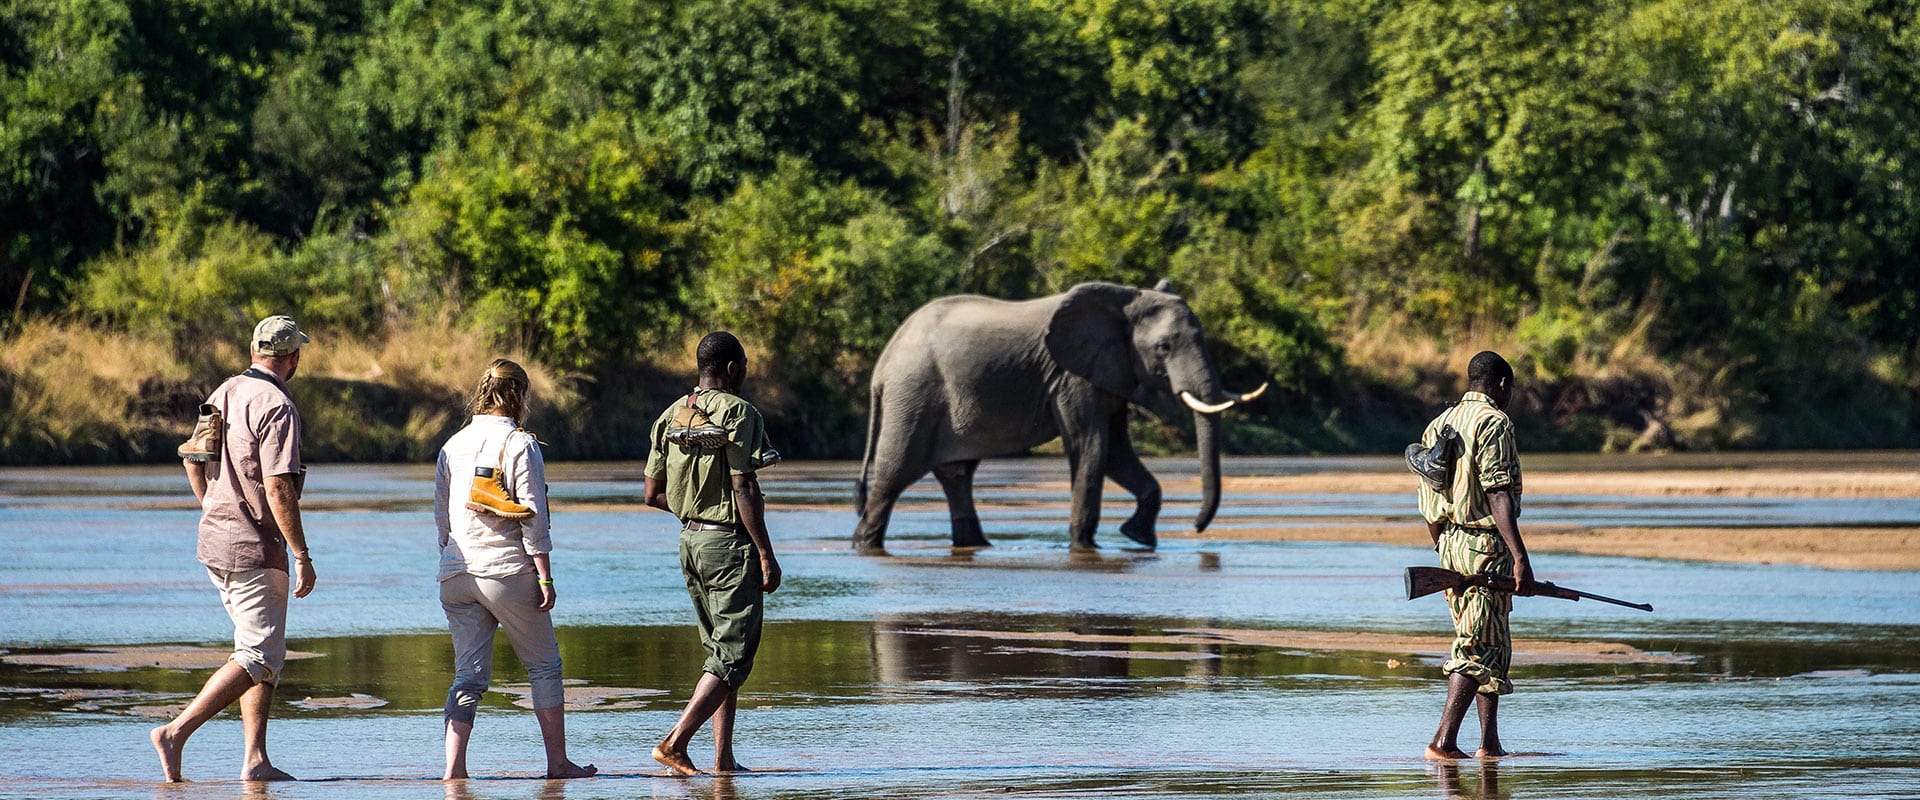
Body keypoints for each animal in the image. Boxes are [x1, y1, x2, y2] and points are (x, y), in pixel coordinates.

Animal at [852, 278, 1267, 548]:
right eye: (1164, 347)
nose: (1196, 528)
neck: (1124, 301)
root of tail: (882, 365)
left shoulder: (1109, 372)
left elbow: (1116, 452)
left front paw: (1136, 537)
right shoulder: (1072, 377)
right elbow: (1092, 447)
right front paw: (1085, 547)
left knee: (957, 477)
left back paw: (977, 546)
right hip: (914, 395)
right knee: (893, 476)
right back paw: (864, 545)